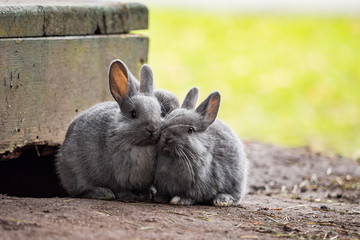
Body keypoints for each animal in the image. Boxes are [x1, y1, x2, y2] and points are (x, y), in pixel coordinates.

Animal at [56, 60, 163, 201]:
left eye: (160, 113)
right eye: (133, 114)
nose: (152, 128)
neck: (140, 145)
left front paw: (147, 194)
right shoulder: (115, 177)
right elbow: (120, 189)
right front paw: (130, 196)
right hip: (76, 173)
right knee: (80, 191)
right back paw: (102, 193)